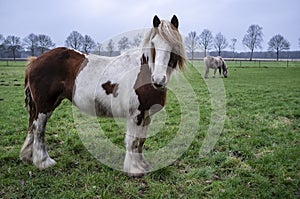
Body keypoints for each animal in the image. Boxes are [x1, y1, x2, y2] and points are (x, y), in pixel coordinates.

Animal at [19, 15, 186, 177]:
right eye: (153, 44)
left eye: (174, 46)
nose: (158, 80)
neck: (145, 72)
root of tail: (35, 61)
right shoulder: (136, 115)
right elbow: (133, 142)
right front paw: (134, 170)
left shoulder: (146, 115)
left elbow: (141, 141)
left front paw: (142, 165)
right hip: (44, 106)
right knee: (39, 129)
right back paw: (43, 162)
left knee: (33, 127)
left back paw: (28, 157)